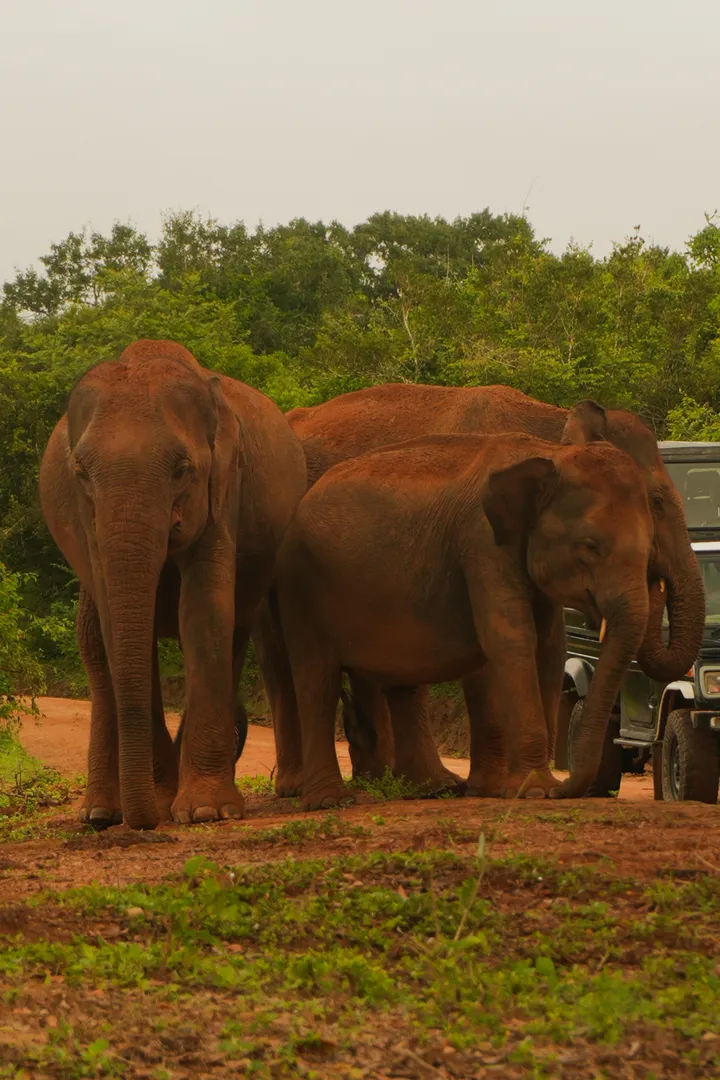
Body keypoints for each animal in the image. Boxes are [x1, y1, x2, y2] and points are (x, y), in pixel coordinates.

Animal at [40, 339, 307, 831]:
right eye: (81, 473)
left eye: (183, 468)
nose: (146, 822)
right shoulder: (87, 525)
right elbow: (117, 625)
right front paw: (164, 804)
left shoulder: (224, 489)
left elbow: (202, 612)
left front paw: (204, 811)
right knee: (93, 643)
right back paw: (100, 813)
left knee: (234, 630)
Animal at [259, 383, 704, 798]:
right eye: (658, 501)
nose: (655, 578)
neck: (551, 432)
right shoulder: (481, 542)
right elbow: (502, 645)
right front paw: (516, 786)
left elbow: (548, 645)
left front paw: (511, 786)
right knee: (290, 659)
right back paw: (312, 788)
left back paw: (411, 783)